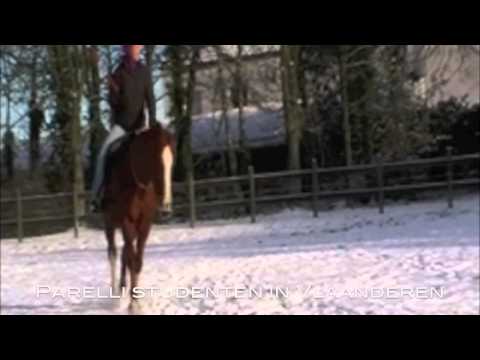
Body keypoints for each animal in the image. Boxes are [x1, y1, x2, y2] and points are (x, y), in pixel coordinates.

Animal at [102, 125, 175, 306]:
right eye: (156, 161)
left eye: (172, 163)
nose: (166, 209)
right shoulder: (126, 221)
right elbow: (131, 260)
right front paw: (133, 305)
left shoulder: (145, 224)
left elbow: (137, 261)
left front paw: (135, 300)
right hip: (109, 223)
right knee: (113, 253)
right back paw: (115, 295)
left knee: (124, 253)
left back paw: (122, 288)